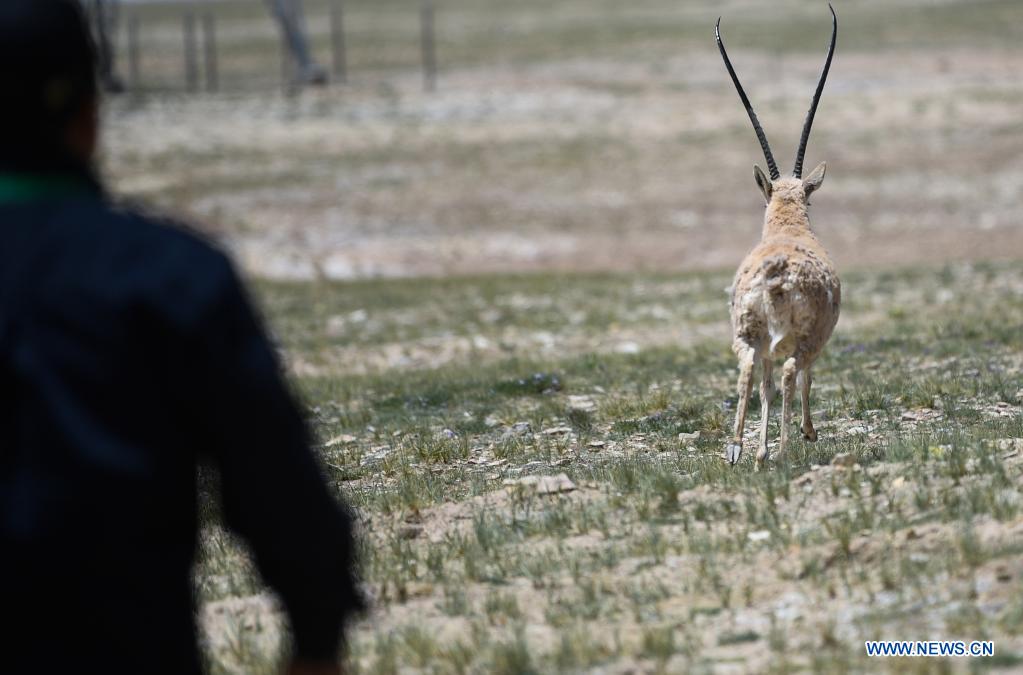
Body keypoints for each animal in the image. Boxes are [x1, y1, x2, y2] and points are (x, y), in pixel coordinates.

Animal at [716, 5, 842, 468]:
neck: (788, 227)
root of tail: (777, 271)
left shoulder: (767, 345)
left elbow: (765, 388)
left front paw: (761, 448)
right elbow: (805, 379)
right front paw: (806, 433)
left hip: (747, 335)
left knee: (751, 373)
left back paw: (740, 448)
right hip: (806, 338)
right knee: (792, 372)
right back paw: (786, 449)